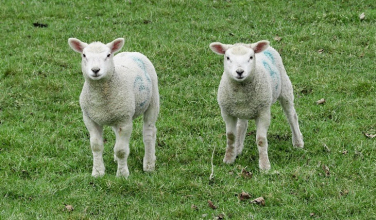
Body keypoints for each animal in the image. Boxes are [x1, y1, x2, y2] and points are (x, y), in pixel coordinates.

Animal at [67, 37, 159, 178]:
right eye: (84, 55)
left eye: (108, 55)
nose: (95, 70)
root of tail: (133, 52)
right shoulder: (89, 119)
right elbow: (96, 146)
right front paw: (98, 172)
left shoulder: (125, 120)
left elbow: (121, 150)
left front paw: (122, 175)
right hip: (117, 114)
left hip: (153, 100)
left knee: (149, 132)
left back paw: (149, 164)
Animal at [210, 40, 304, 170]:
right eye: (227, 57)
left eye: (251, 57)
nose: (240, 72)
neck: (241, 91)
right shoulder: (227, 112)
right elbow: (231, 137)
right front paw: (229, 159)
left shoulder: (263, 112)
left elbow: (260, 140)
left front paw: (264, 165)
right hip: (242, 110)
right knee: (242, 125)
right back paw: (238, 149)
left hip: (285, 89)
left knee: (292, 116)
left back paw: (298, 142)